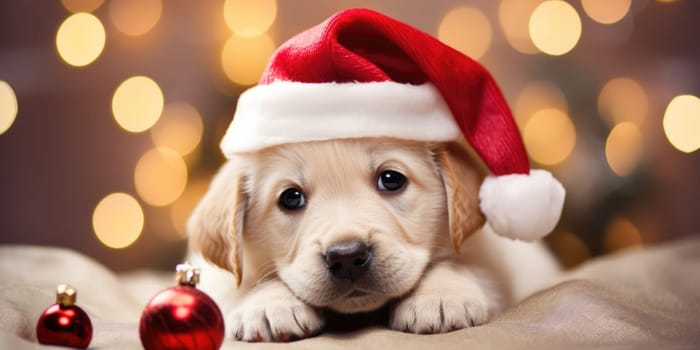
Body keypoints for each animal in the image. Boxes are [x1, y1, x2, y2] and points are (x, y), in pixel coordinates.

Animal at [187, 138, 564, 344]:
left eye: (391, 179)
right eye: (290, 198)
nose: (346, 257)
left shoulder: (500, 258)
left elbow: (463, 264)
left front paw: (440, 295)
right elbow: (240, 286)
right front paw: (268, 304)